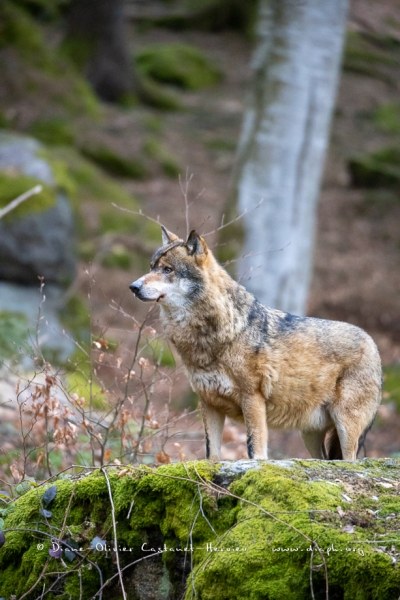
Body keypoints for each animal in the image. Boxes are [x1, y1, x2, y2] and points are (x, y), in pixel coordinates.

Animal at [130, 227, 382, 462]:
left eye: (167, 270)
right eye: (151, 267)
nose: (133, 286)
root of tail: (373, 343)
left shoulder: (252, 397)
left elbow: (255, 447)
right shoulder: (208, 402)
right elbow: (212, 453)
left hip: (345, 426)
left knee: (351, 460)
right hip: (310, 434)